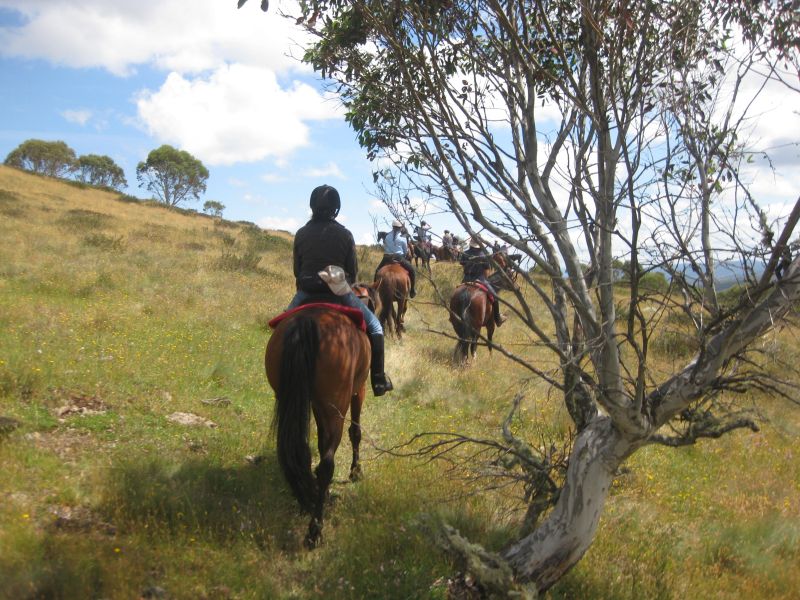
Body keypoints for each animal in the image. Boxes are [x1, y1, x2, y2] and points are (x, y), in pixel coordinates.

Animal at [266, 308, 372, 548]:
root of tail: (307, 322)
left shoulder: (315, 404)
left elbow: (322, 441)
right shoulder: (359, 390)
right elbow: (356, 432)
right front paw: (356, 471)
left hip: (289, 397)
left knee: (301, 453)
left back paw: (307, 499)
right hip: (336, 407)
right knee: (326, 464)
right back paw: (315, 530)